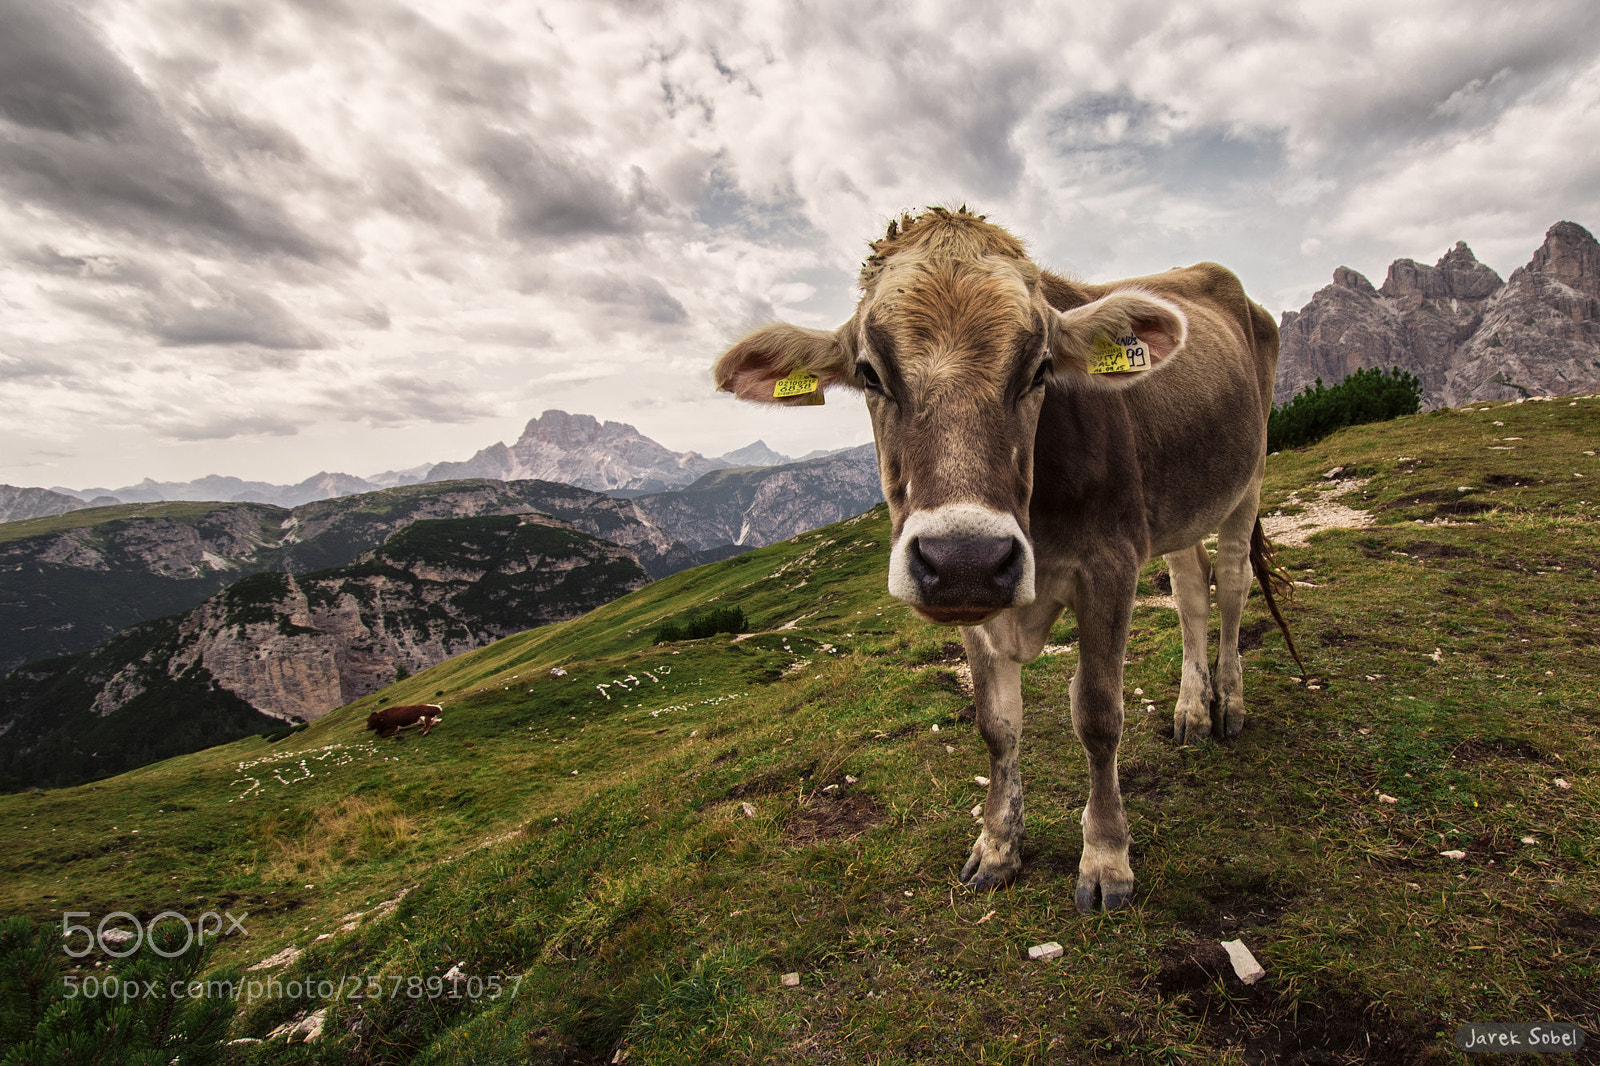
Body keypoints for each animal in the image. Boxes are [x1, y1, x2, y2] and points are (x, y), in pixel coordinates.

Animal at [713, 207, 1299, 912]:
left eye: (1040, 369)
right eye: (870, 373)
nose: (965, 556)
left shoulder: (1111, 565)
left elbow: (1098, 714)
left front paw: (1106, 859)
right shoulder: (971, 601)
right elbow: (996, 724)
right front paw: (997, 847)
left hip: (1248, 478)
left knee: (1233, 584)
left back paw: (1229, 706)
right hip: (1178, 510)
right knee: (1191, 592)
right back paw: (1191, 708)